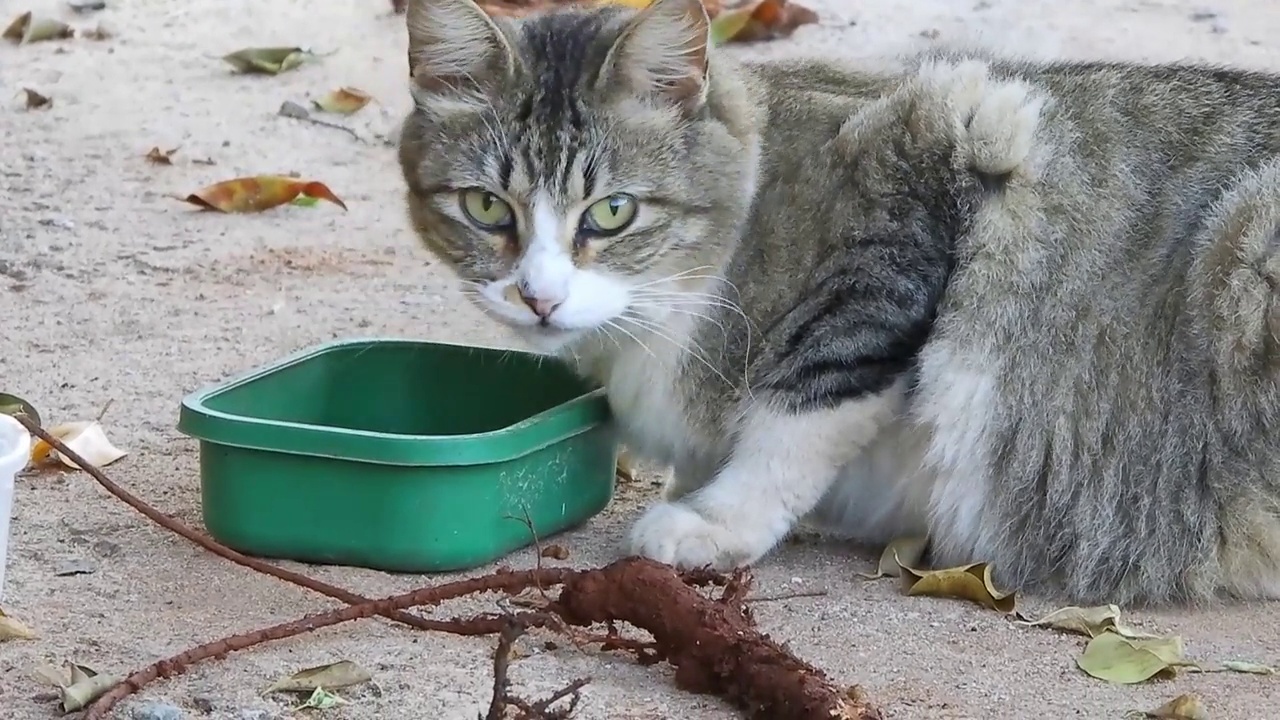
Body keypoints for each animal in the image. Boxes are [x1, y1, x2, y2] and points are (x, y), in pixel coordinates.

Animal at [396, 0, 1280, 604]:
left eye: (611, 213)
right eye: (486, 208)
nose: (539, 298)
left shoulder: (933, 159)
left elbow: (798, 415)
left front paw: (716, 521)